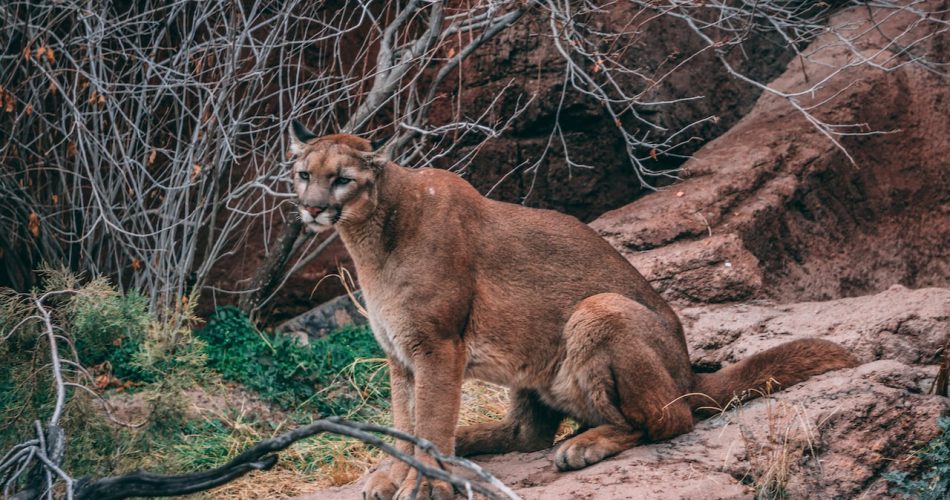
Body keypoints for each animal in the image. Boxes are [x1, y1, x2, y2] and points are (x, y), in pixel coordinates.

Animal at [286, 122, 859, 500]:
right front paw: (394, 473)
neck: (371, 236)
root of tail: (688, 370)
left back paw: (583, 445)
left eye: (342, 179)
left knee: (669, 420)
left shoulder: (437, 347)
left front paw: (421, 482)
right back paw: (470, 442)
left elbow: (426, 420)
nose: (311, 208)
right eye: (302, 174)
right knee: (529, 434)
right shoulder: (400, 354)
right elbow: (406, 418)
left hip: (599, 309)